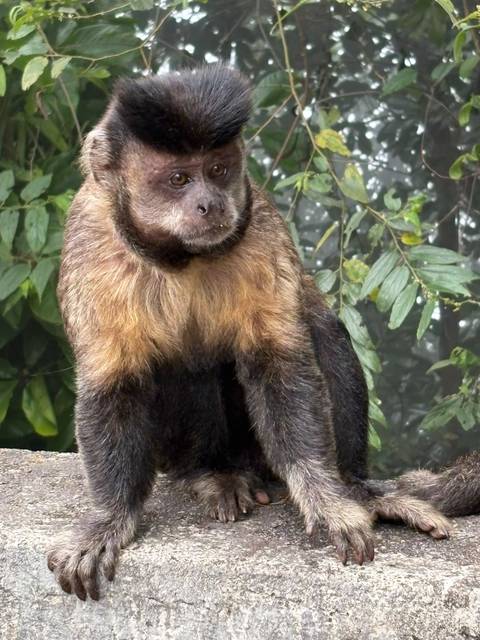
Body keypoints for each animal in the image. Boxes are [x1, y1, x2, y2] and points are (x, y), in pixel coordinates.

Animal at [47, 64, 479, 601]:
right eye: (178, 179)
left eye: (218, 170)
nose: (210, 204)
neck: (179, 255)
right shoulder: (90, 238)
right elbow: (113, 383)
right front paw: (110, 518)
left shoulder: (259, 223)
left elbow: (280, 362)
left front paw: (326, 497)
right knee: (182, 370)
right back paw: (212, 474)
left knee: (322, 330)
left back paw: (355, 486)